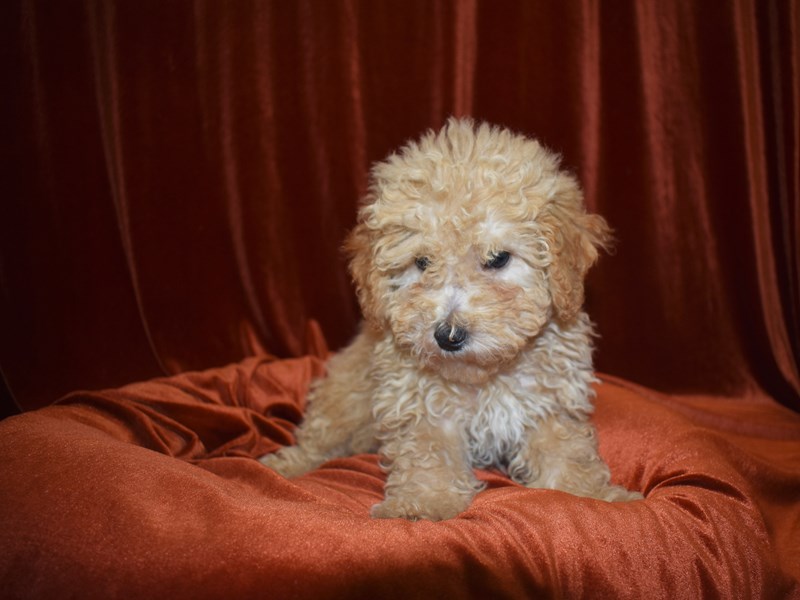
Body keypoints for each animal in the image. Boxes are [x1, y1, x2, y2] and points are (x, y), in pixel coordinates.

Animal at [260, 118, 640, 520]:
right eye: (422, 262)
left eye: (498, 258)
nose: (448, 335)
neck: (486, 376)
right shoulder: (419, 404)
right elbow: (428, 454)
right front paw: (421, 504)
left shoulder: (549, 403)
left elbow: (567, 452)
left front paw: (592, 495)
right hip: (347, 399)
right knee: (319, 438)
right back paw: (286, 465)